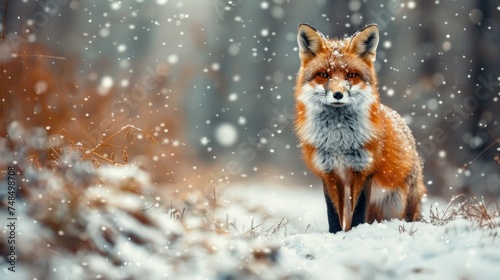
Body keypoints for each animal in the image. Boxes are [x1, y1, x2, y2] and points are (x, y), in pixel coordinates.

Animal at [294, 24, 428, 233]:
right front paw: (336, 234)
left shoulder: (364, 170)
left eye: (351, 75)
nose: (338, 94)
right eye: (324, 75)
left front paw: (355, 233)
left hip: (399, 204)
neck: (338, 139)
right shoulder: (328, 171)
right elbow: (333, 213)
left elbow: (359, 211)